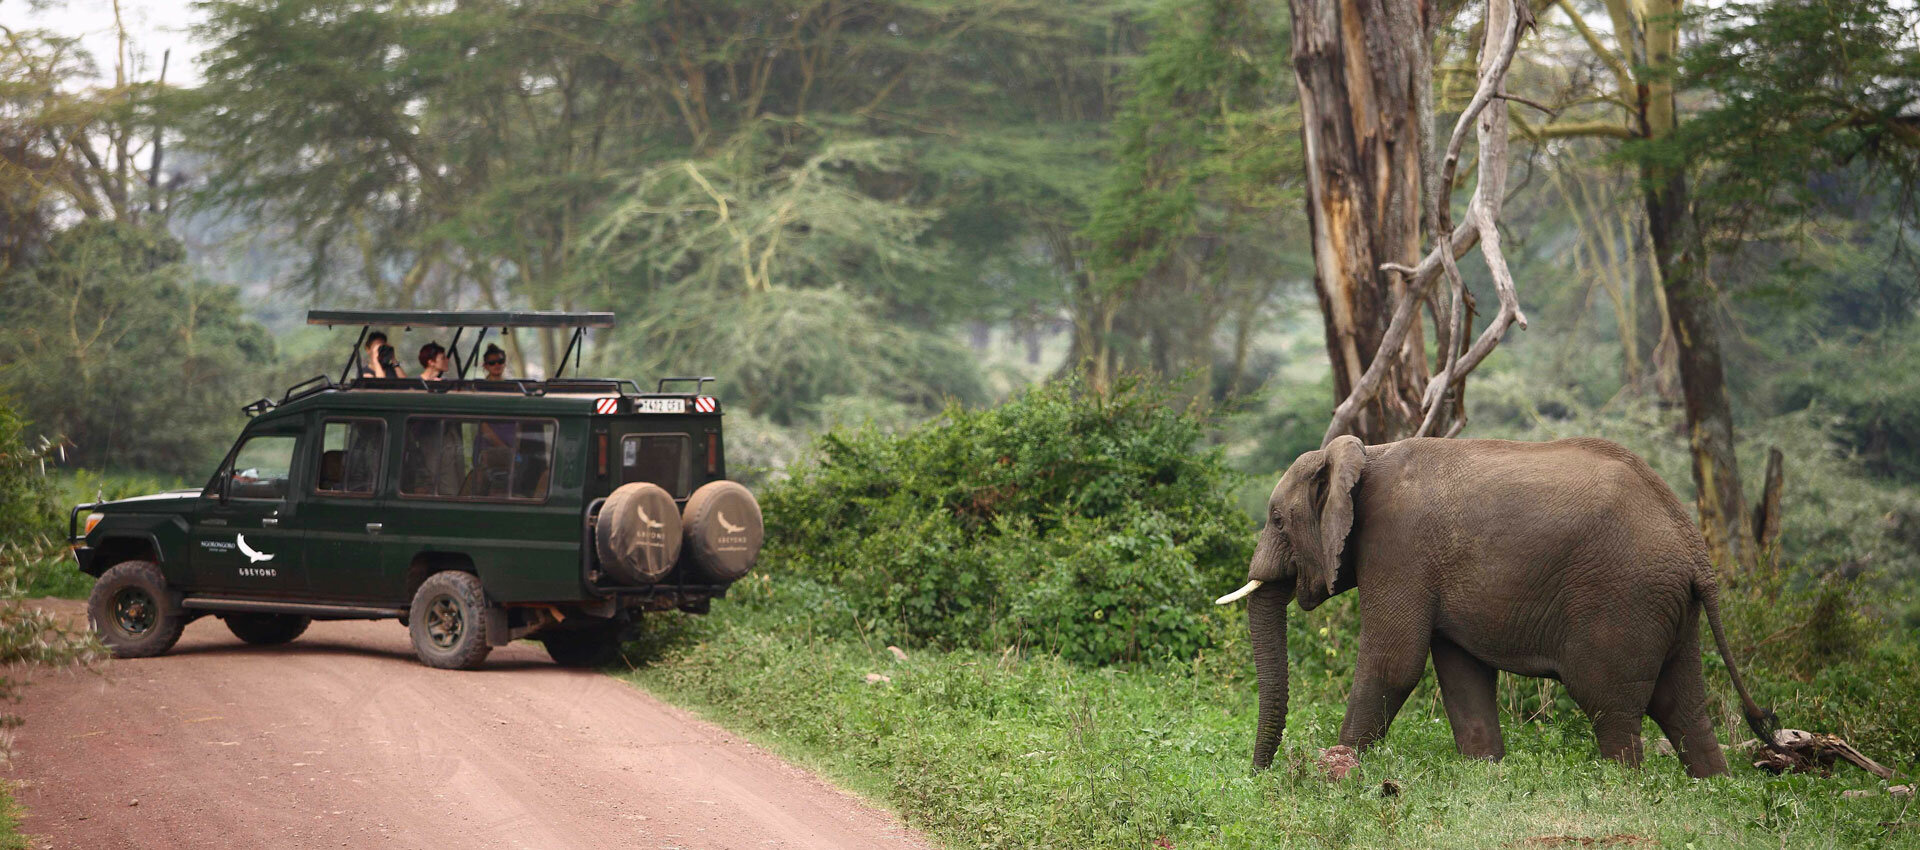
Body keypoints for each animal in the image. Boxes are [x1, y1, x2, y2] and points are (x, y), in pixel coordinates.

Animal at [1221, 439, 1774, 779]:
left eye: (1276, 519)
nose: (1259, 774)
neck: (1363, 455)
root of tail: (1694, 548)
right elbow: (1461, 672)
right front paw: (1484, 773)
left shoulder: (1397, 547)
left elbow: (1393, 663)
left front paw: (1337, 770)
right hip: (1669, 607)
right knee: (1681, 705)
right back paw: (1715, 789)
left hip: (1625, 600)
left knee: (1611, 706)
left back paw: (1625, 789)